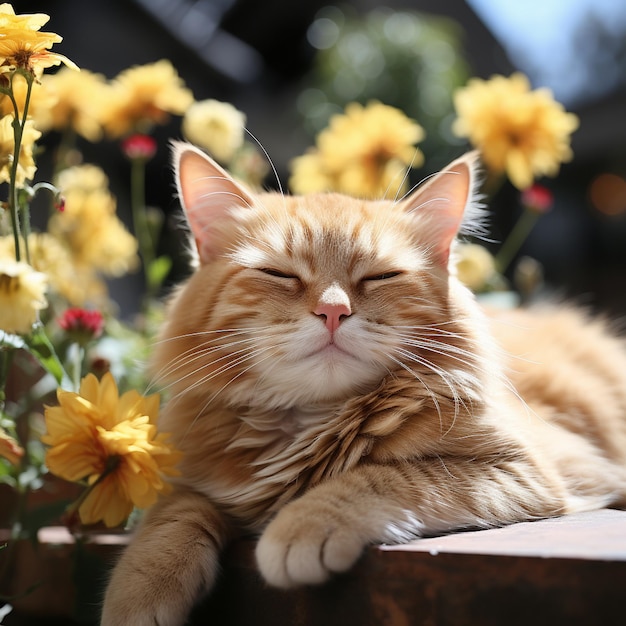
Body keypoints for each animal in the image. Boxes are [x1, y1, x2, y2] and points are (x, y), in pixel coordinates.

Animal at [100, 143, 624, 624]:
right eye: (279, 274)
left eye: (380, 276)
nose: (333, 311)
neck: (309, 423)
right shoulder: (196, 480)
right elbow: (171, 517)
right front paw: (140, 592)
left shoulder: (527, 471)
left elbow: (381, 477)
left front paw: (301, 526)